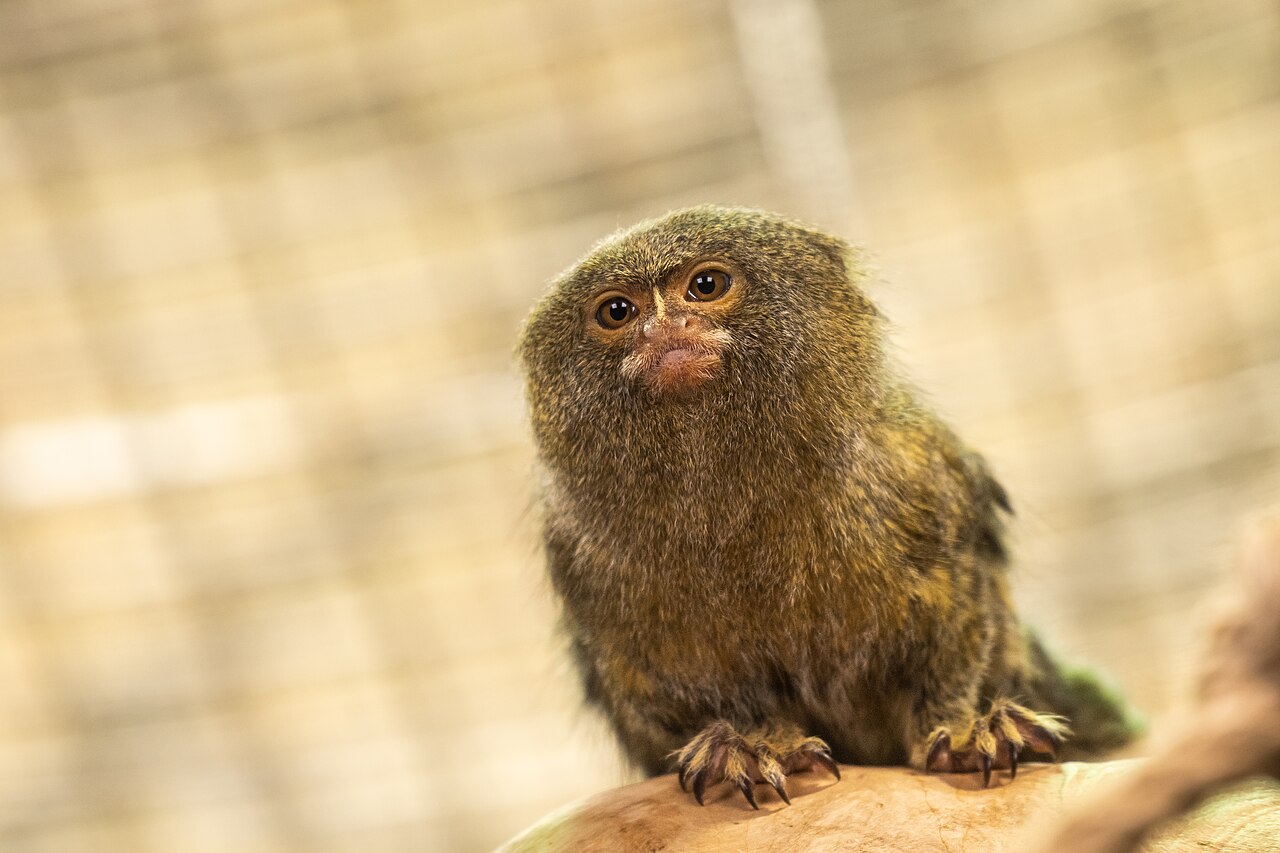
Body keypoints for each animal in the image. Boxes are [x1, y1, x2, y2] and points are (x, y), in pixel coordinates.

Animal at [519, 205, 1137, 808]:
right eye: (617, 312)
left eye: (706, 285)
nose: (662, 329)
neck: (734, 484)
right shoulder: (582, 555)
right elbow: (681, 688)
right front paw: (753, 743)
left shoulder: (923, 471)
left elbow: (960, 624)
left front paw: (963, 732)